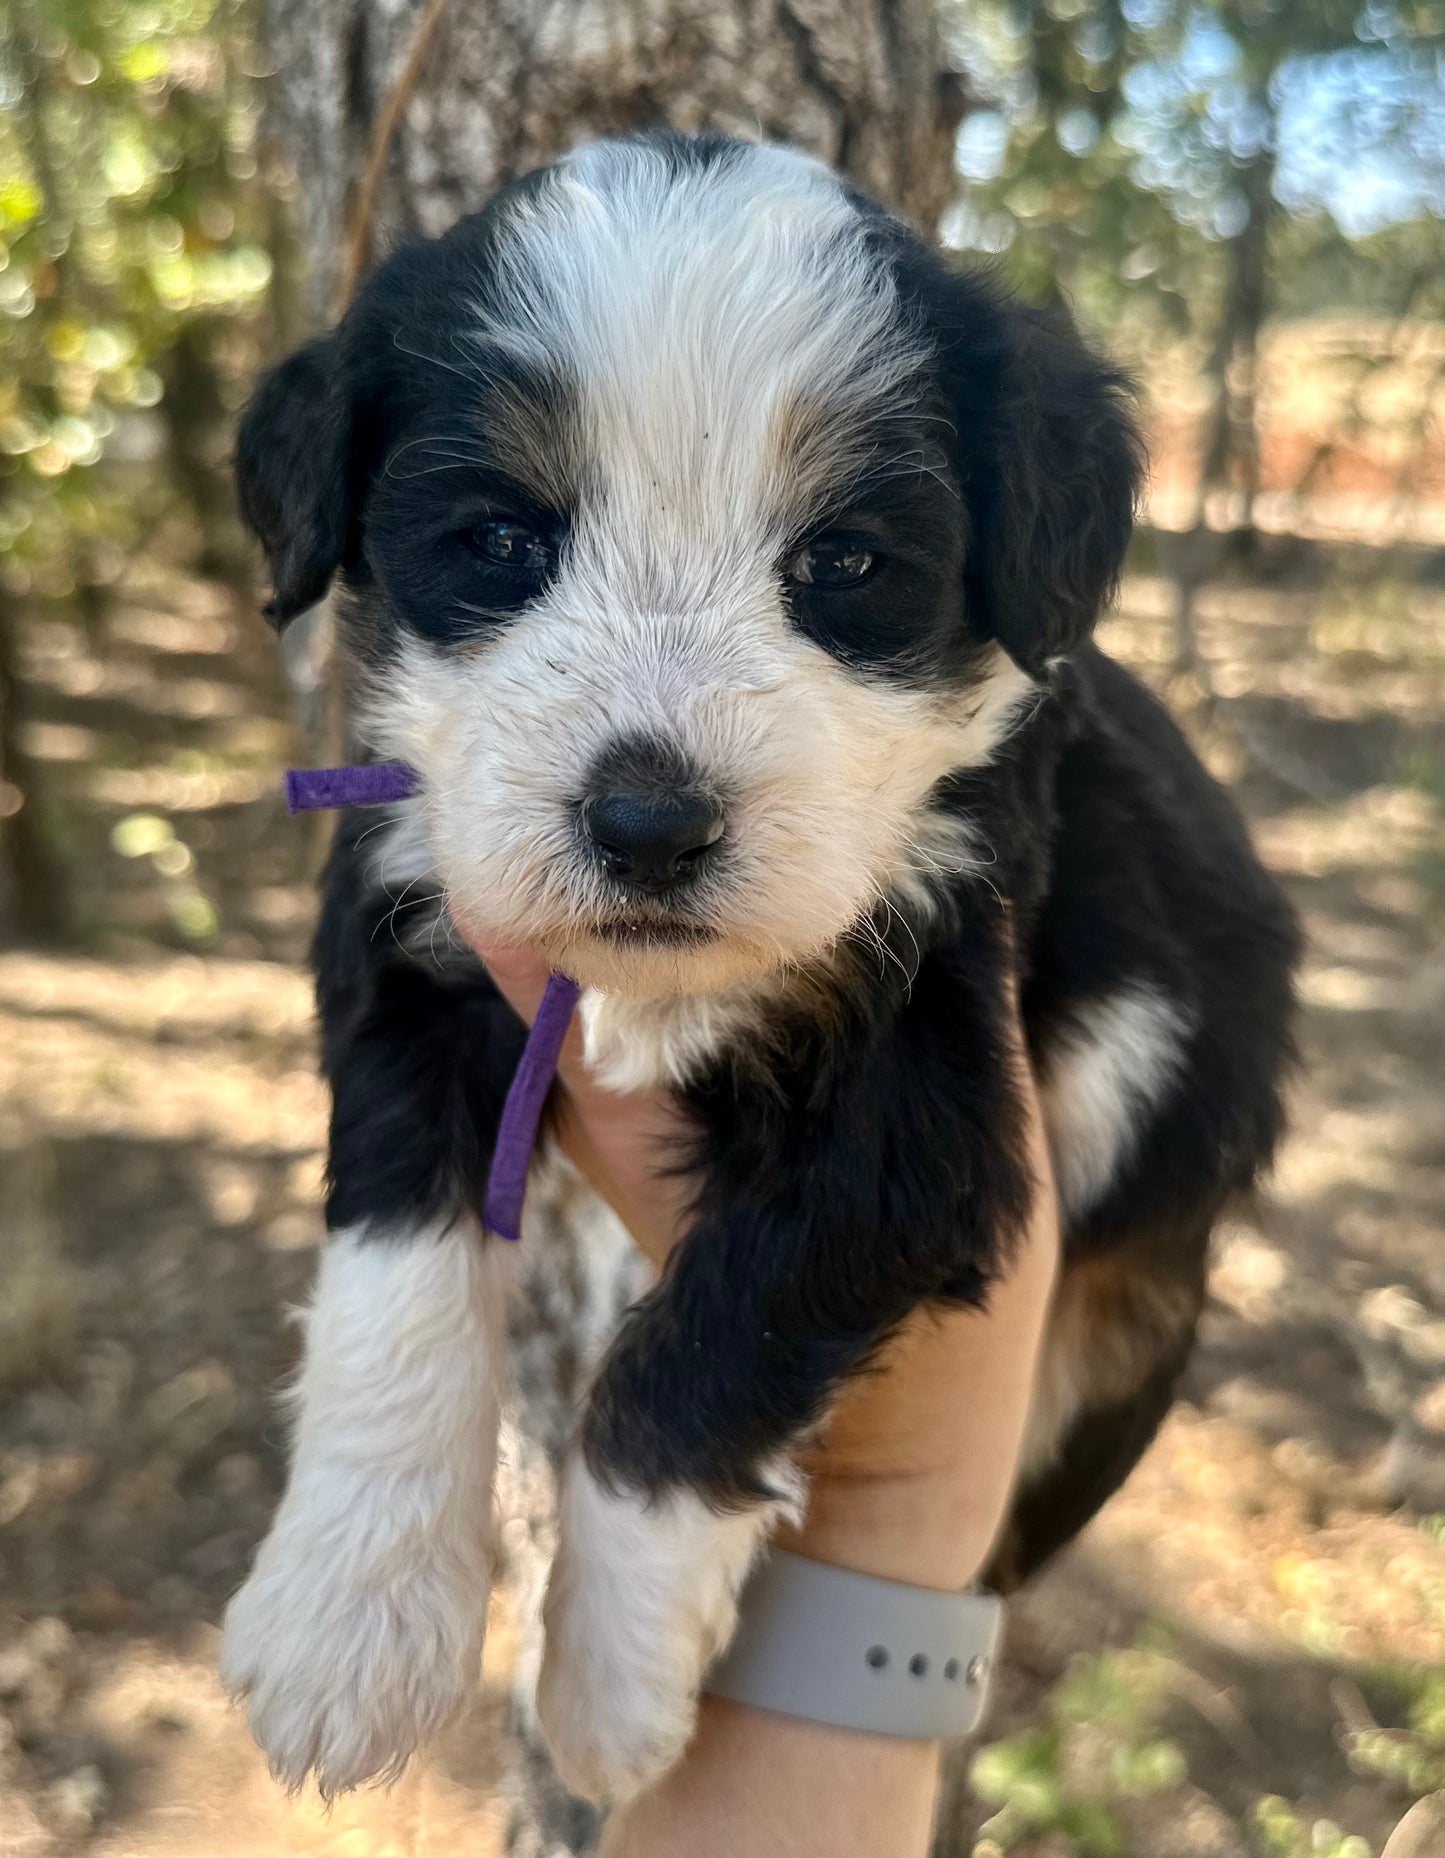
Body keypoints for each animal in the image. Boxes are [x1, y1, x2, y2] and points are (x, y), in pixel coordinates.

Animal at [216, 134, 1292, 1813]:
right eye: (502, 541)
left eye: (843, 560)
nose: (649, 823)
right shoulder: (410, 924)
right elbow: (397, 1266)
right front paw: (349, 1617)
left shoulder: (916, 1115)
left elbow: (696, 1359)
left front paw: (604, 1683)